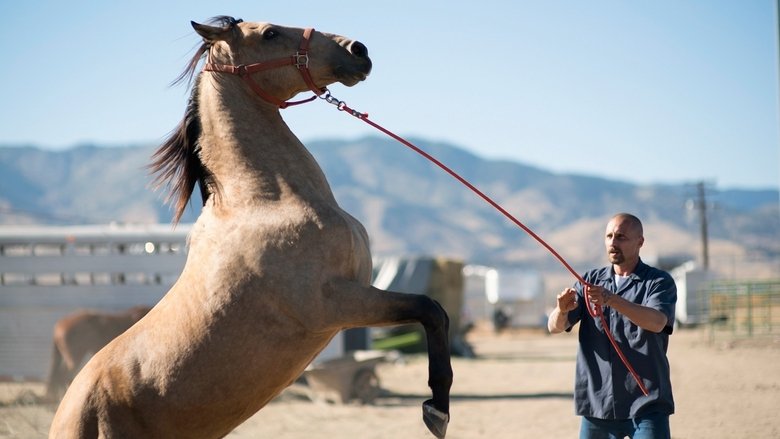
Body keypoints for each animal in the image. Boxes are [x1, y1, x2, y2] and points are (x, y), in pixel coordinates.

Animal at [48, 15, 450, 438]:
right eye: (270, 32)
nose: (358, 50)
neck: (265, 201)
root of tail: (66, 415)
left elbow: (435, 312)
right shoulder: (335, 302)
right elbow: (429, 309)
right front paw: (436, 410)